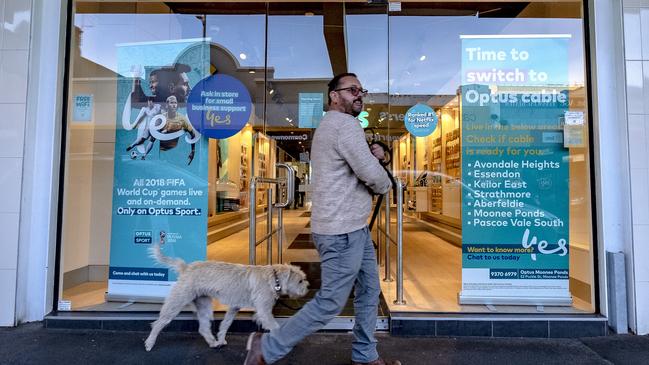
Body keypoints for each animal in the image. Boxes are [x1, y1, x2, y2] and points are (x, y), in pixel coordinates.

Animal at [144, 243, 308, 352]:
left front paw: (221, 339)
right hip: (176, 303)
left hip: (204, 305)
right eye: (300, 281)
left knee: (203, 328)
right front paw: (283, 340)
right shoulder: (264, 311)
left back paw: (213, 342)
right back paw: (149, 343)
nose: (307, 289)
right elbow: (275, 326)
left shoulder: (234, 307)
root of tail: (186, 267)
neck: (274, 278)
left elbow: (225, 324)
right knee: (158, 323)